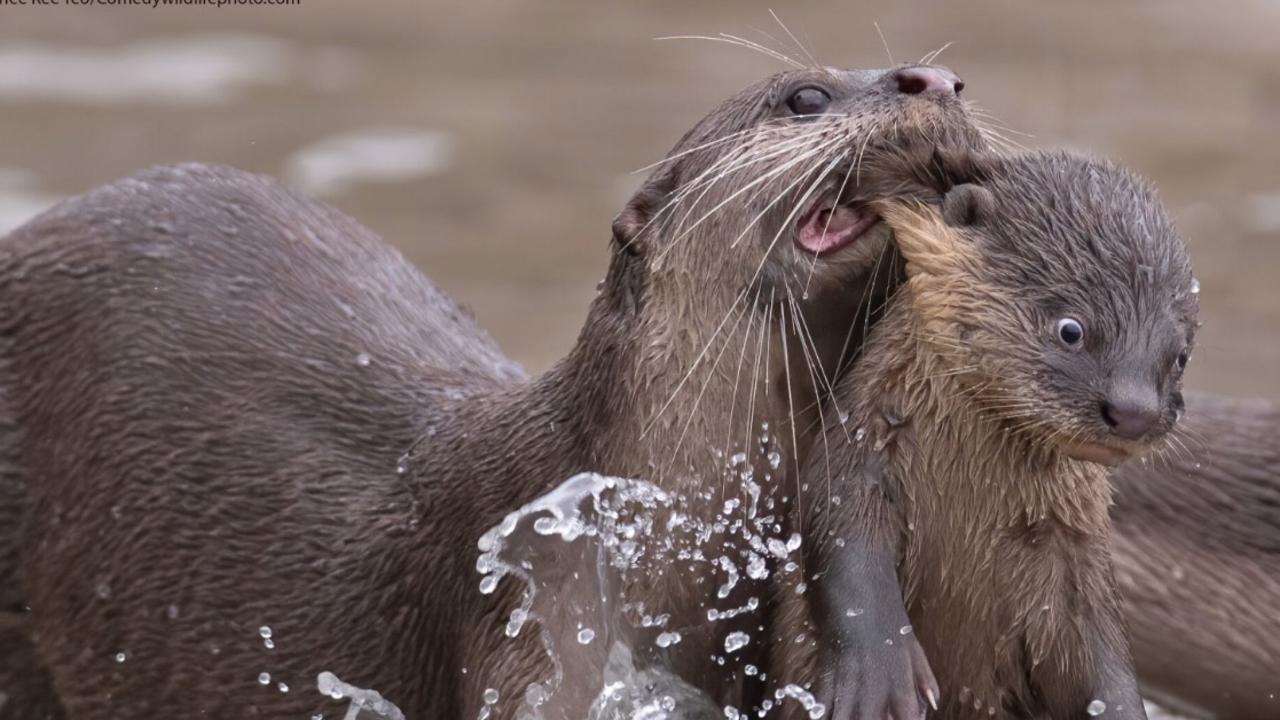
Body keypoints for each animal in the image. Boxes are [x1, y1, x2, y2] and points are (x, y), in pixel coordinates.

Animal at [768, 151, 1198, 717]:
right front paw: (880, 680)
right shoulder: (857, 452)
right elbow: (845, 553)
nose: (1135, 411)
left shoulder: (1076, 550)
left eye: (1181, 355)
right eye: (1071, 329)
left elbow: (1103, 648)